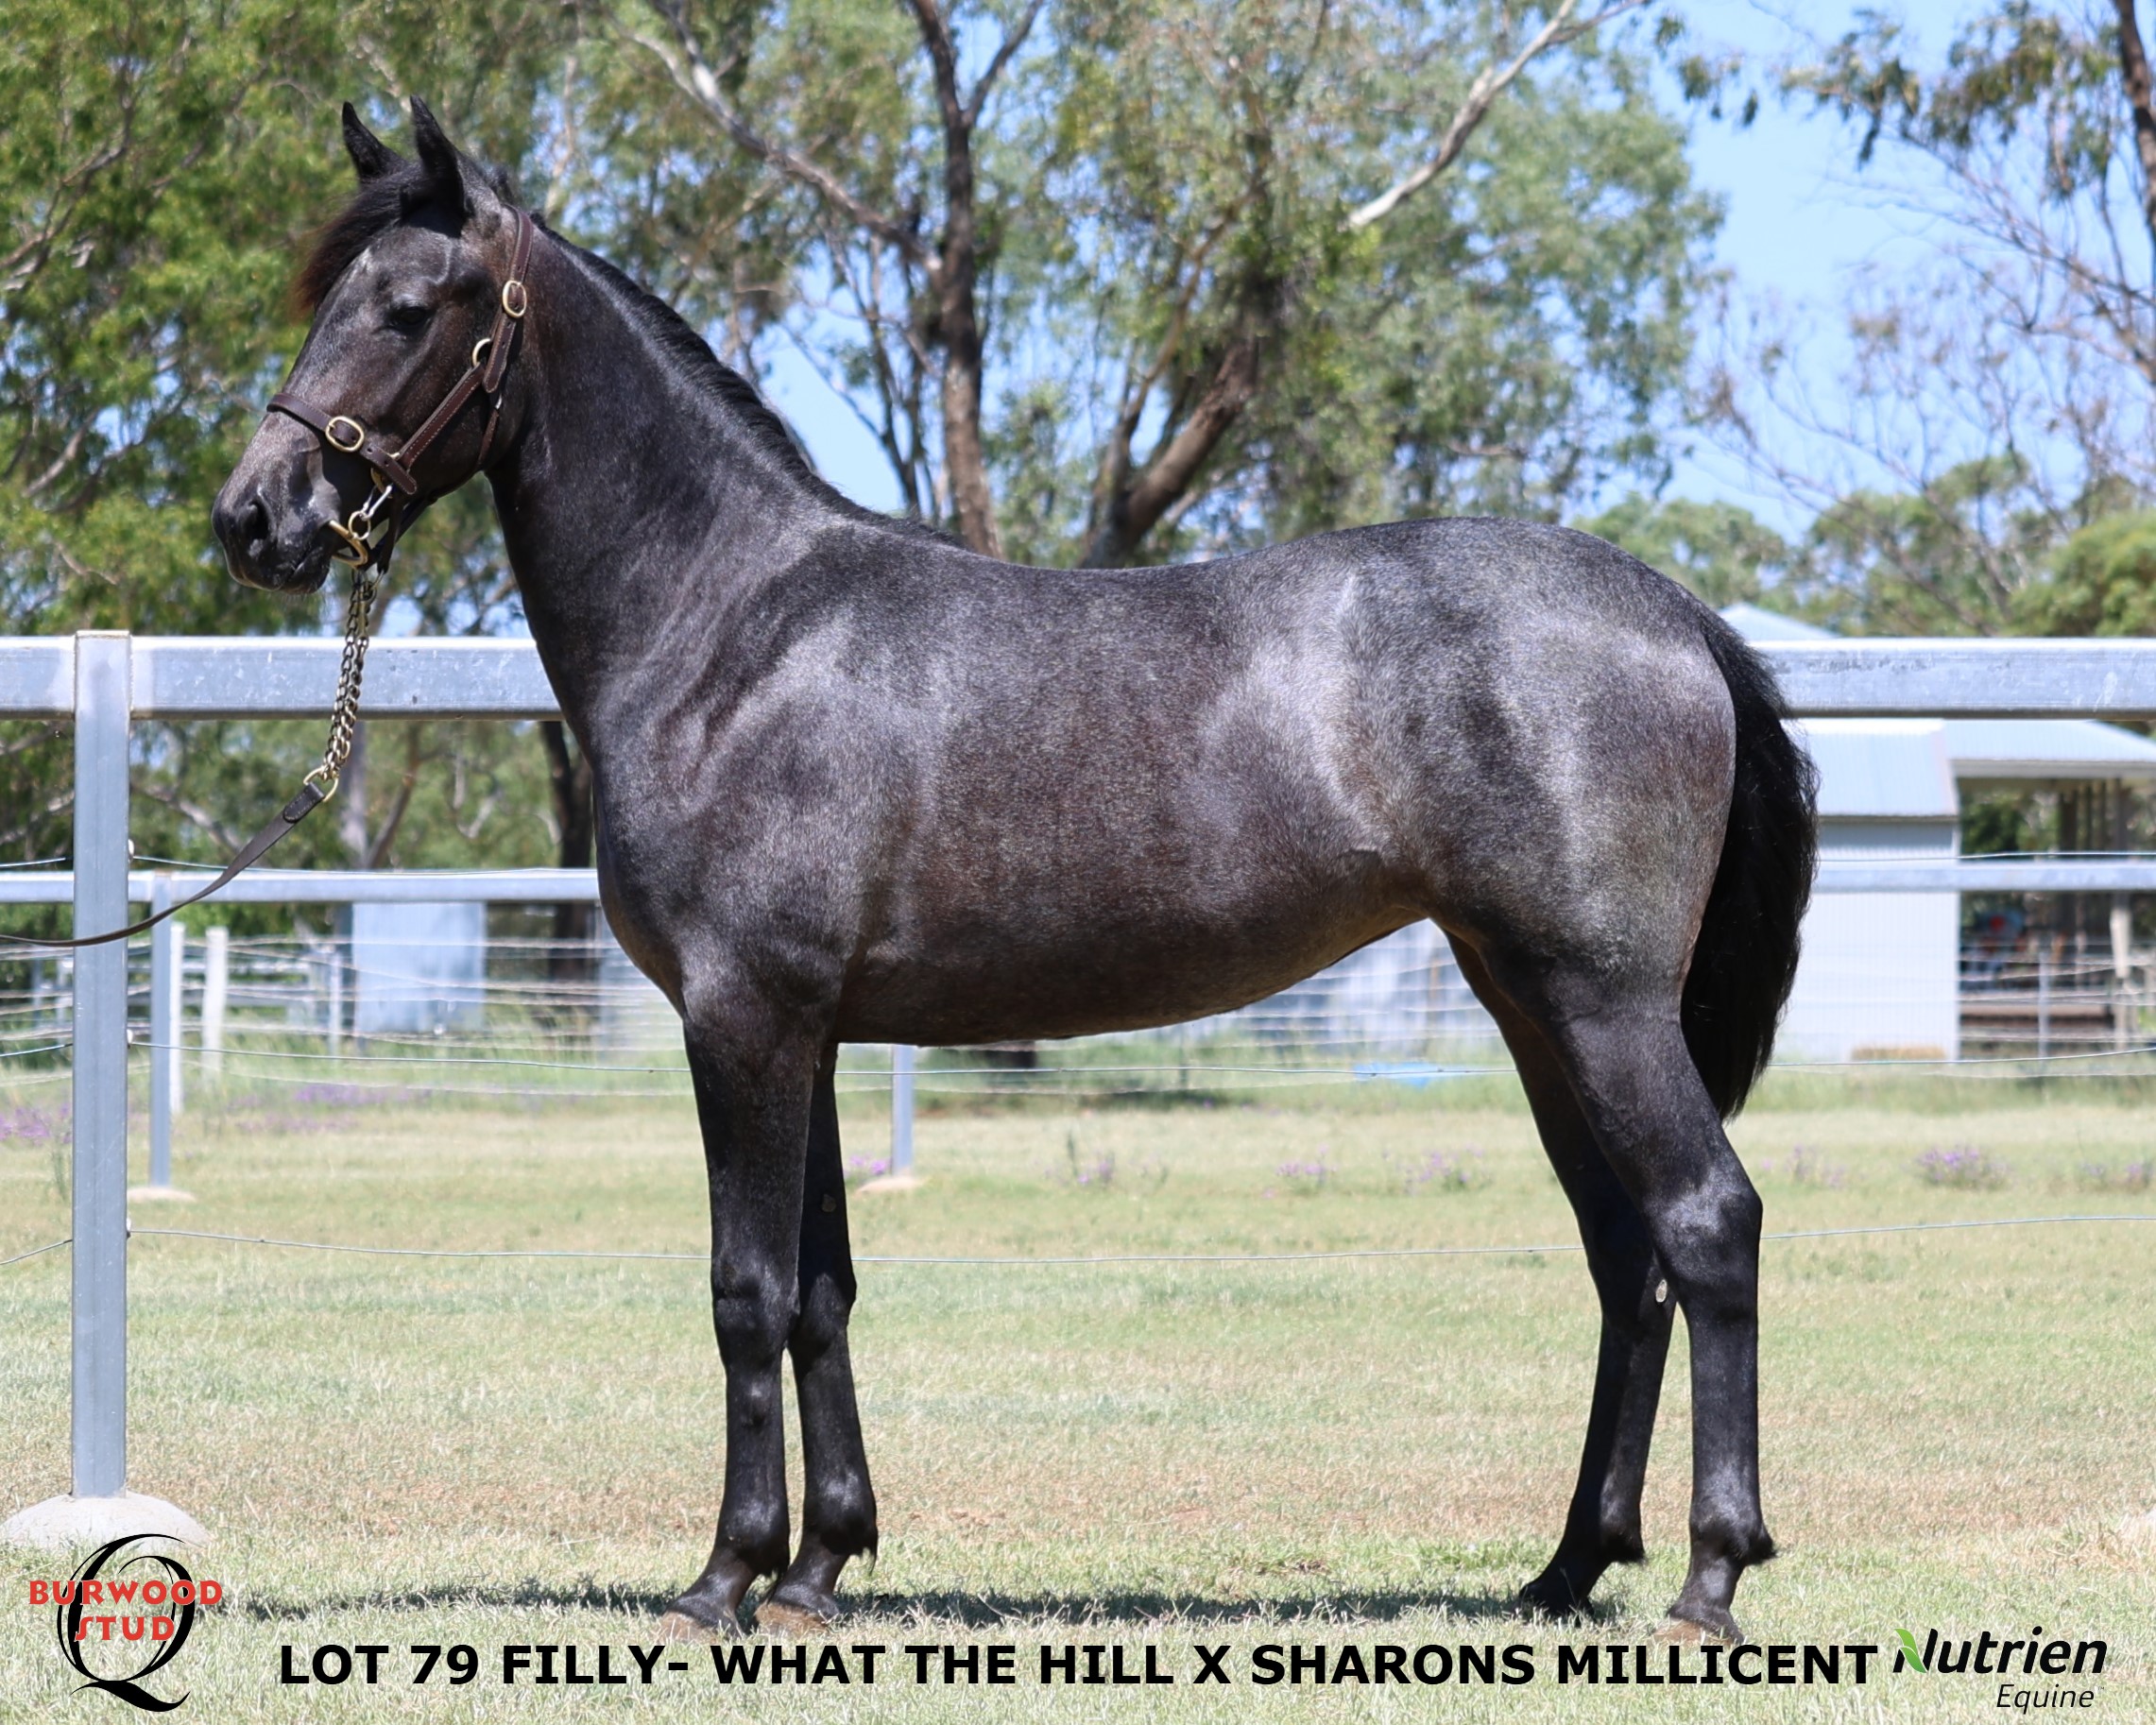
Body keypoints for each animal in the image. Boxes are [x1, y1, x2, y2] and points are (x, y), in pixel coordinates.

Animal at [213, 99, 1816, 1644]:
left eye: (410, 305)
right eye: (329, 292)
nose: (255, 516)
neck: (732, 632)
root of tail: (1675, 613)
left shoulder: (741, 1017)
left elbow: (744, 1292)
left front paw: (722, 1578)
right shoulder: (808, 1029)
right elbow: (821, 1291)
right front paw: (818, 1566)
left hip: (1600, 1005)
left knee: (1705, 1225)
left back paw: (1707, 1576)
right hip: (1529, 1005)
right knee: (1623, 1257)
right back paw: (1565, 1568)